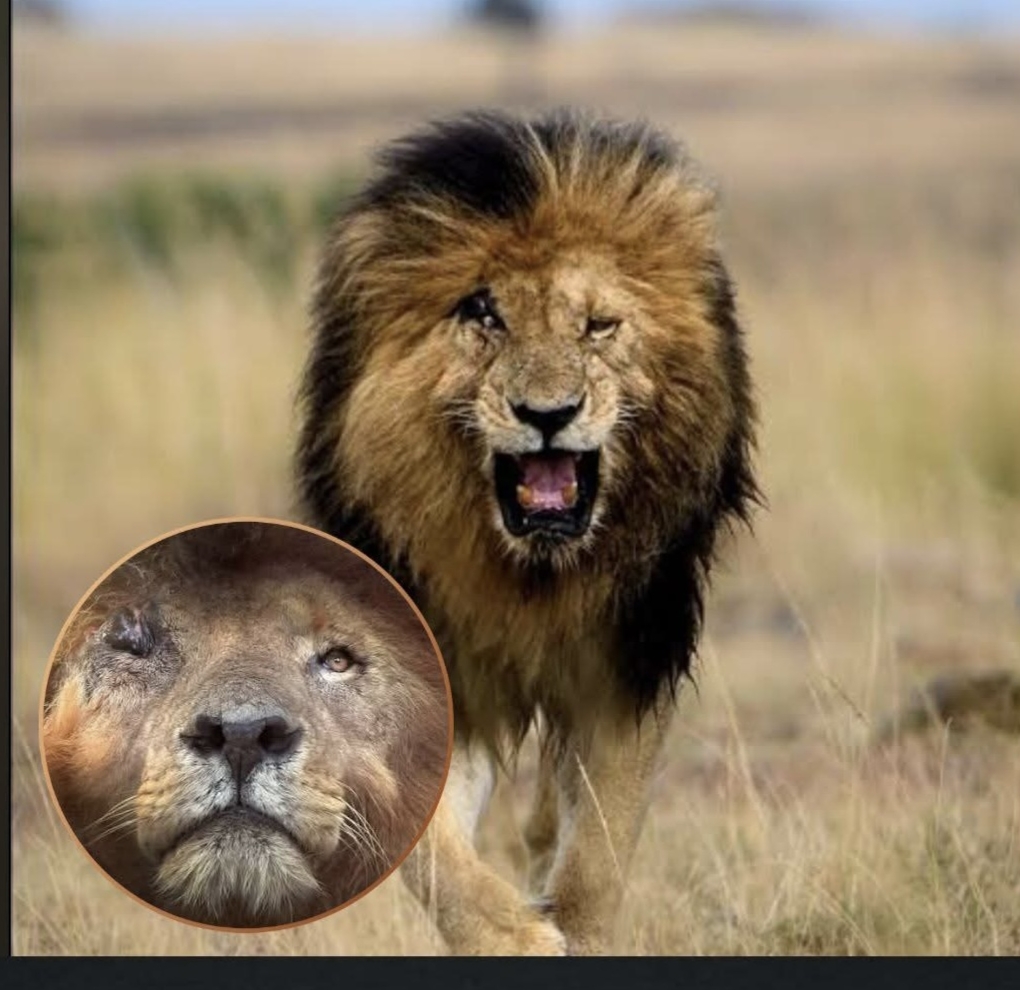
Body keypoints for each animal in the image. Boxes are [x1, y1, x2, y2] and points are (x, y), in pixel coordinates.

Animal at [297, 109, 759, 954]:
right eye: (485, 316)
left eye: (599, 327)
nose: (549, 414)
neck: (531, 576)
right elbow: (429, 850)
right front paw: (511, 936)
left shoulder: (632, 655)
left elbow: (603, 842)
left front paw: (574, 925)